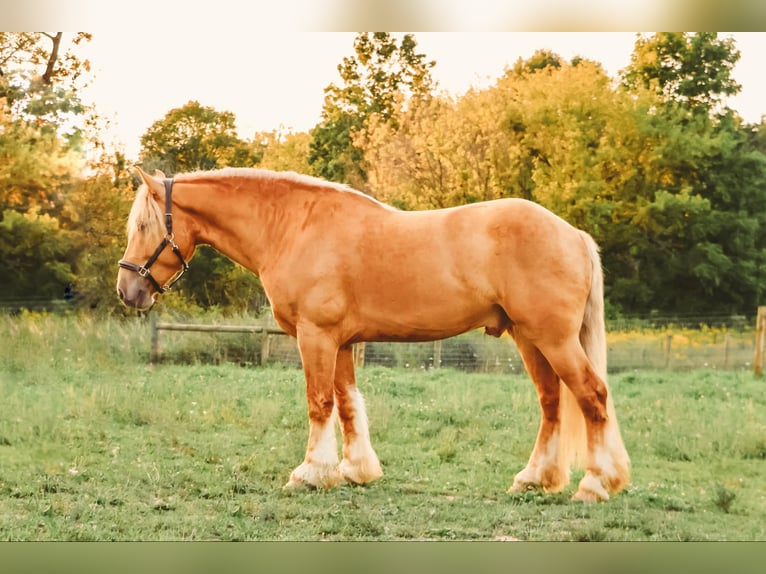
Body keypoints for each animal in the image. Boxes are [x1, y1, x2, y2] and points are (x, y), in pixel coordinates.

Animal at [118, 166, 632, 504]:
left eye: (144, 225)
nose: (128, 290)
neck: (294, 226)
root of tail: (573, 234)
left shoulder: (316, 336)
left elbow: (319, 402)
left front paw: (311, 473)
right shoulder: (342, 342)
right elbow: (347, 404)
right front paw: (355, 471)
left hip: (553, 339)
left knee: (592, 396)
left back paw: (595, 485)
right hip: (529, 339)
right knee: (552, 402)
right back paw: (534, 479)